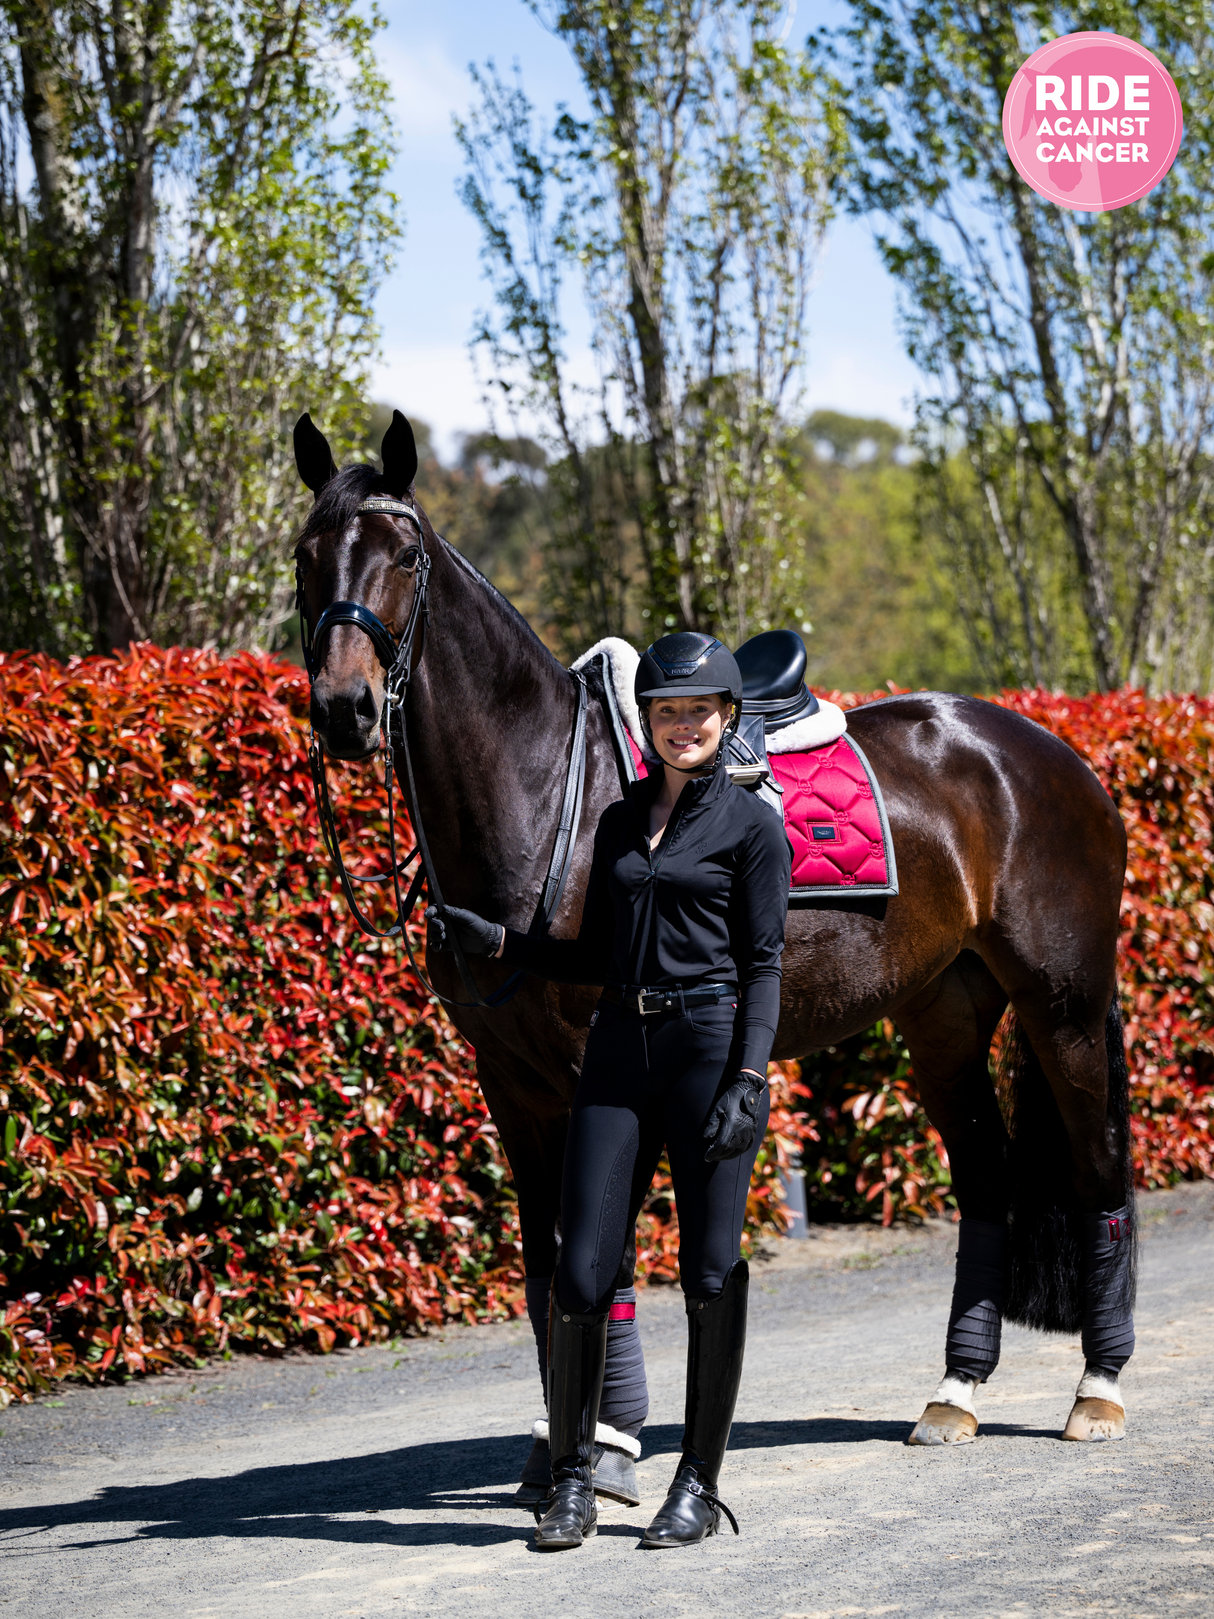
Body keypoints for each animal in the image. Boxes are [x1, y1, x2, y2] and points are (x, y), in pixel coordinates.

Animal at [292, 411, 1133, 1463]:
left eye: (404, 556)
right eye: (306, 554)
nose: (346, 708)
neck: (545, 795)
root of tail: (1052, 755)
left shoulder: (595, 1067)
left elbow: (601, 1256)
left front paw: (610, 1441)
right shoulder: (509, 1081)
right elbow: (545, 1263)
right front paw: (563, 1442)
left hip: (1064, 1005)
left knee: (1099, 1169)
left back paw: (1098, 1389)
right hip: (944, 1012)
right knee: (985, 1183)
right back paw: (955, 1392)